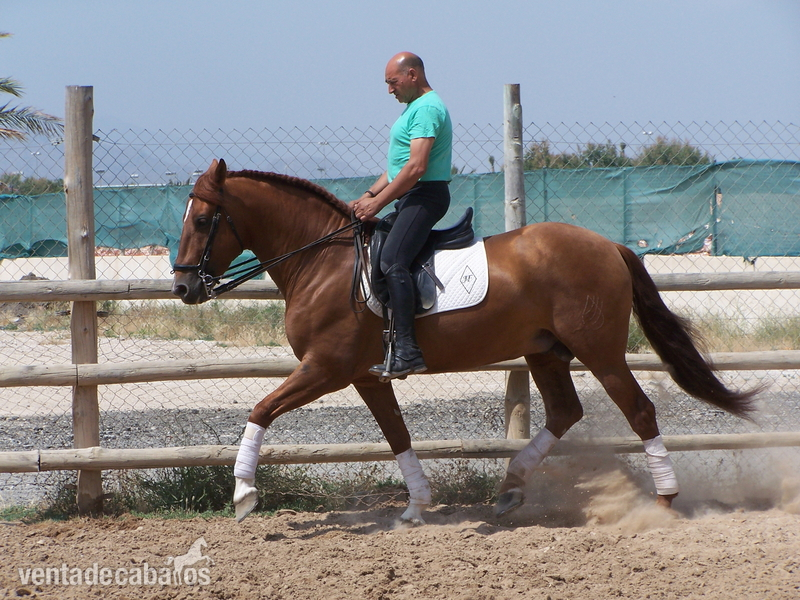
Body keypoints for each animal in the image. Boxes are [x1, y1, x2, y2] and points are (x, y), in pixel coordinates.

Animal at [172, 159, 757, 524]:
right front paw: (415, 507)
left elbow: (260, 409)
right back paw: (511, 488)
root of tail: (608, 245)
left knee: (639, 411)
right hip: (544, 352)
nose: (183, 288)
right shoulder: (365, 377)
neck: (323, 260)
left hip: (601, 353)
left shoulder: (325, 368)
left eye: (201, 219)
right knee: (565, 412)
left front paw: (244, 494)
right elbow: (397, 435)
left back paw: (663, 501)